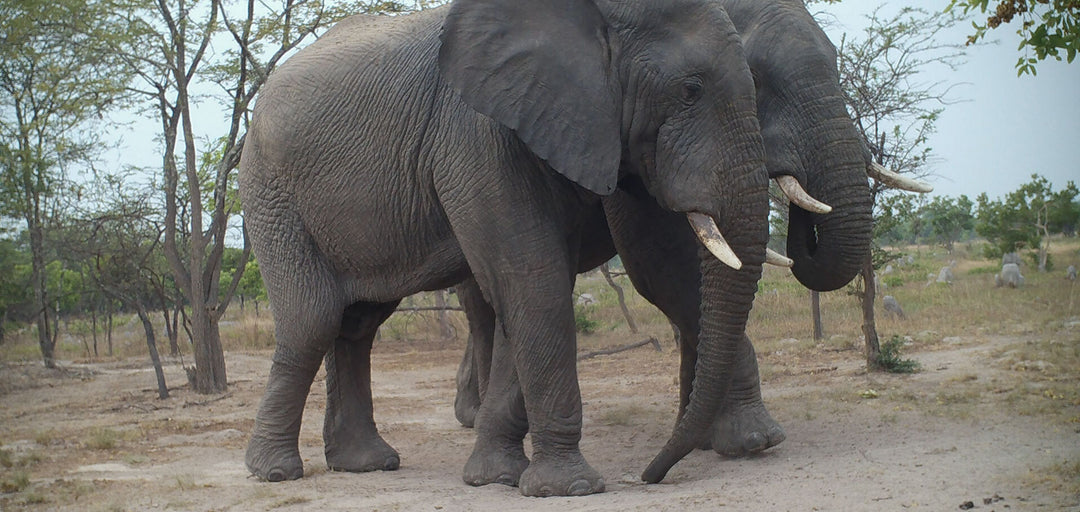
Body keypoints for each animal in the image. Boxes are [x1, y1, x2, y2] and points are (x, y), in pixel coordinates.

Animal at [239, 0, 773, 499]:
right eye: (690, 90)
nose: (649, 475)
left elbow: (658, 266)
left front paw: (494, 477)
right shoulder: (477, 134)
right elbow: (535, 281)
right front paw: (568, 488)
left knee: (358, 324)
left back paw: (365, 464)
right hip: (271, 193)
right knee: (313, 319)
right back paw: (275, 472)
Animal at [451, 0, 933, 466]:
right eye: (756, 80)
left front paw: (703, 439)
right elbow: (660, 266)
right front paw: (743, 439)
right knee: (487, 300)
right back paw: (474, 418)